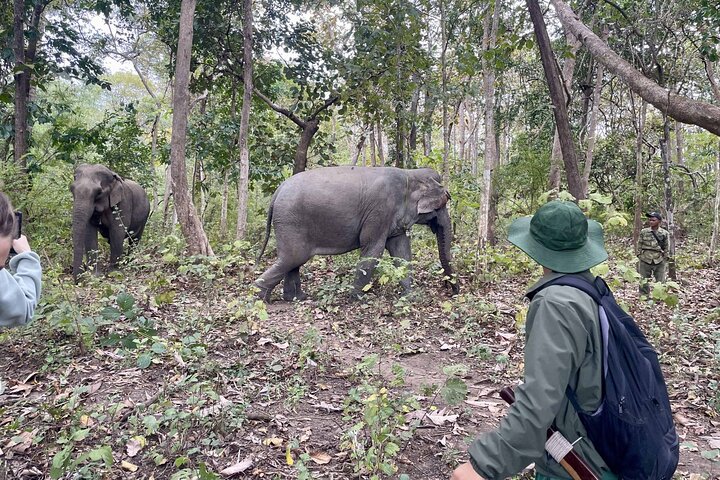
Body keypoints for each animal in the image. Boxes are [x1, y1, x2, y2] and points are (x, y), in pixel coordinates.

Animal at [255, 166, 459, 301]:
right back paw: (260, 297)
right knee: (293, 258)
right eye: (444, 202)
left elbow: (401, 252)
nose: (454, 293)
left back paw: (298, 298)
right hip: (290, 222)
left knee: (293, 261)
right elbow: (373, 250)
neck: (410, 174)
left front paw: (412, 297)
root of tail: (278, 191)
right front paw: (359, 299)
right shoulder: (380, 211)